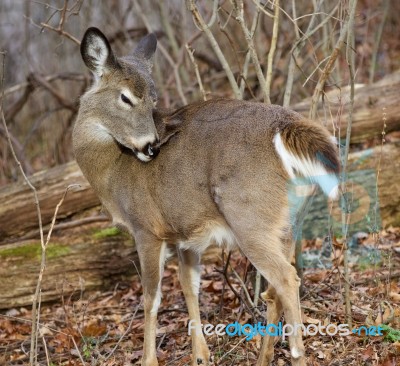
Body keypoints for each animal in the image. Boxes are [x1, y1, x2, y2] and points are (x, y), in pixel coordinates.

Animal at [73, 27, 340, 366]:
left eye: (152, 100)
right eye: (125, 97)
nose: (151, 146)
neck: (113, 171)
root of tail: (288, 127)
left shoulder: (145, 227)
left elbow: (151, 298)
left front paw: (149, 359)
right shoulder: (184, 232)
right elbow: (190, 286)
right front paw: (200, 354)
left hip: (249, 216)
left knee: (287, 278)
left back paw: (294, 353)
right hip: (290, 222)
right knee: (273, 289)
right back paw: (263, 357)